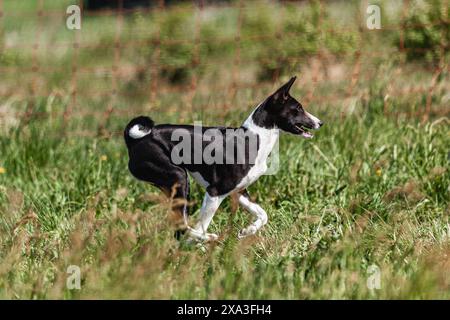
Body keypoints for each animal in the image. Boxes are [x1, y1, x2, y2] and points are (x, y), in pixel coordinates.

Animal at [124, 77, 320, 241]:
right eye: (298, 108)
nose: (320, 123)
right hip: (179, 177)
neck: (253, 139)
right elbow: (202, 223)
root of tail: (135, 141)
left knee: (178, 227)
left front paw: (248, 230)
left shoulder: (238, 191)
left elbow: (263, 214)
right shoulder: (215, 192)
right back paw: (206, 239)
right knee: (182, 228)